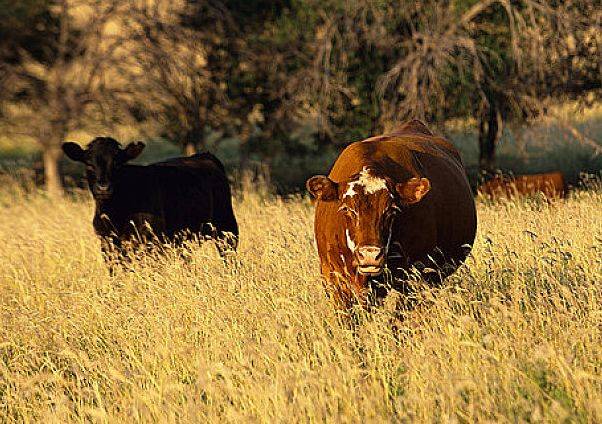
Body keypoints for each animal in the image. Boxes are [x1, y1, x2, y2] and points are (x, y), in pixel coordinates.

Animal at [62, 137, 238, 266]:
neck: (116, 213)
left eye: (118, 164)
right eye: (89, 164)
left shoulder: (152, 243)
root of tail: (204, 155)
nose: (103, 187)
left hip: (226, 227)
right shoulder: (108, 244)